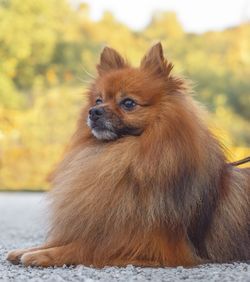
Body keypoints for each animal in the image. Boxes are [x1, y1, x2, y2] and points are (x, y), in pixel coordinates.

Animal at [6, 43, 249, 268]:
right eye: (98, 100)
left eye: (128, 103)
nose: (93, 112)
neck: (124, 155)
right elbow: (68, 238)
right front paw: (29, 249)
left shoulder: (149, 243)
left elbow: (86, 247)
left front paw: (43, 255)